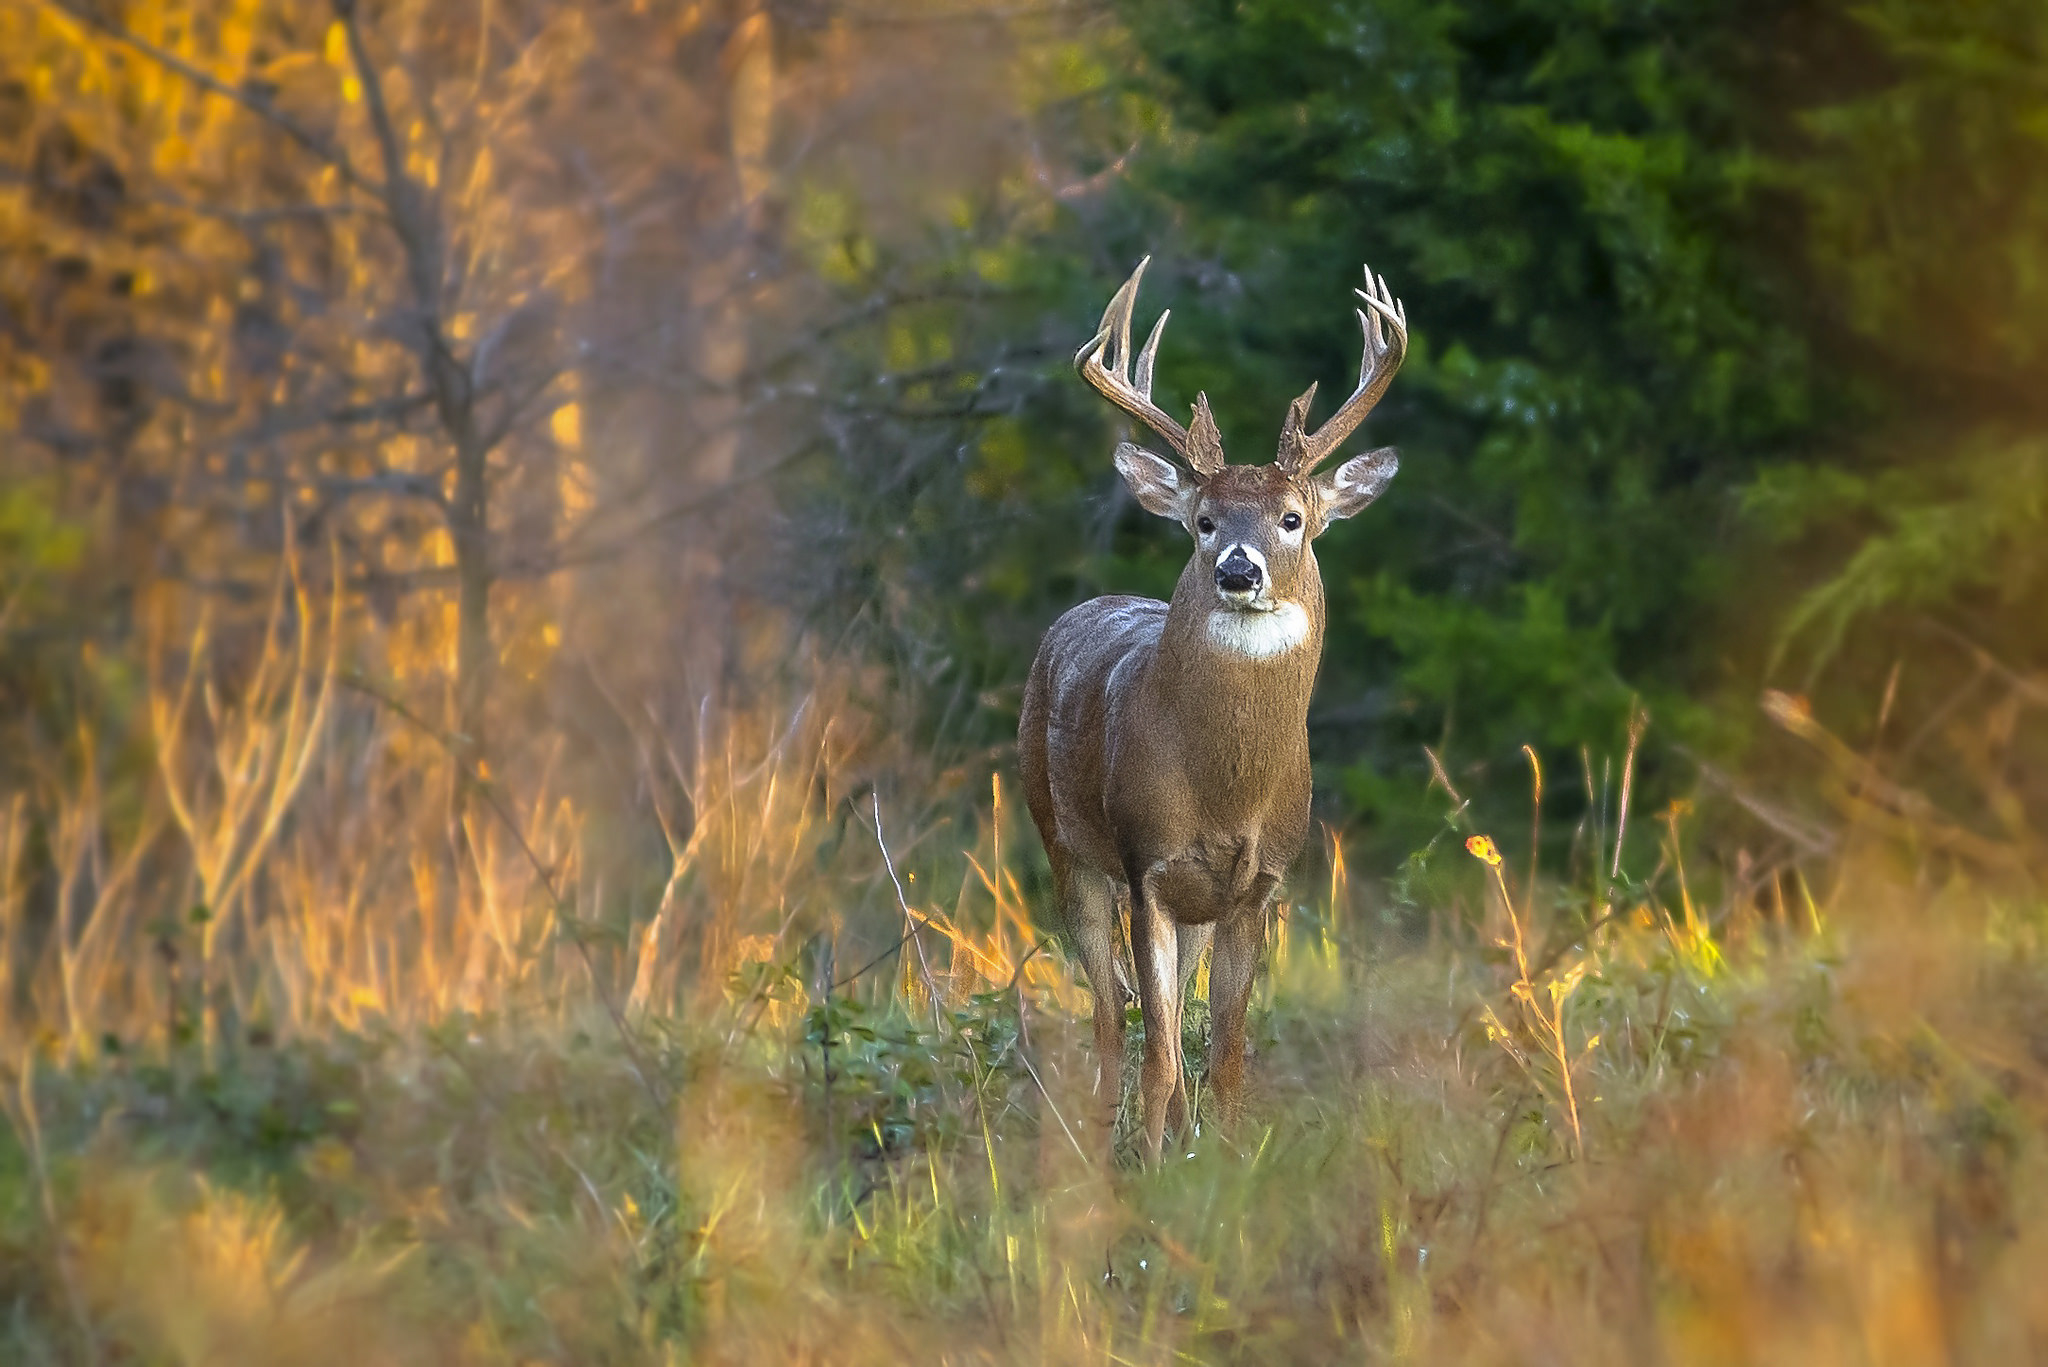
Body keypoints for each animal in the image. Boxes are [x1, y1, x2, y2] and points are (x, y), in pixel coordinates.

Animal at [1019, 256, 1409, 1164]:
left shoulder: (1258, 885)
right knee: (1108, 1012)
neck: (1226, 789)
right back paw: (1102, 1146)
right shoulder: (1148, 868)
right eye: (1201, 521)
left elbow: (1225, 1050)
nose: (1238, 569)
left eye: (1292, 517)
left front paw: (1223, 1163)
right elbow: (1161, 1049)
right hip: (1065, 843)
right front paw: (1156, 1165)